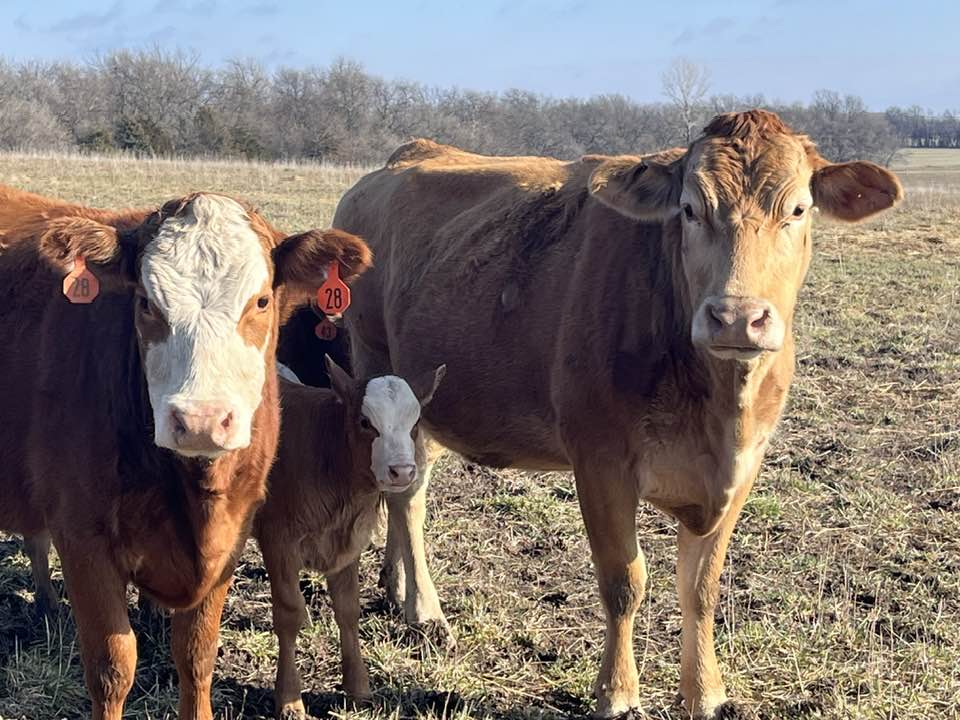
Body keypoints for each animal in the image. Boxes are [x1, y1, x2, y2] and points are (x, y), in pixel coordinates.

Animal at [0, 184, 371, 720]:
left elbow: (197, 655)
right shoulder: (82, 536)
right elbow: (112, 667)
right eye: (146, 302)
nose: (200, 420)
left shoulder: (232, 536)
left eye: (261, 300)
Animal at [254, 359, 444, 719]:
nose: (403, 471)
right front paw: (289, 699)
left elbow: (347, 609)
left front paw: (358, 687)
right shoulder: (277, 540)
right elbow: (288, 614)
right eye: (365, 422)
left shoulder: (348, 541)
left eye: (414, 424)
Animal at [328, 110, 903, 718]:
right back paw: (426, 611)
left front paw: (706, 692)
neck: (717, 407)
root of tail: (401, 159)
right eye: (690, 209)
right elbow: (624, 581)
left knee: (406, 486)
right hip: (378, 368)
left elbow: (702, 585)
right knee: (405, 497)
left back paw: (397, 587)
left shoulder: (745, 467)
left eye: (797, 209)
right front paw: (618, 692)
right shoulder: (601, 462)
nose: (735, 317)